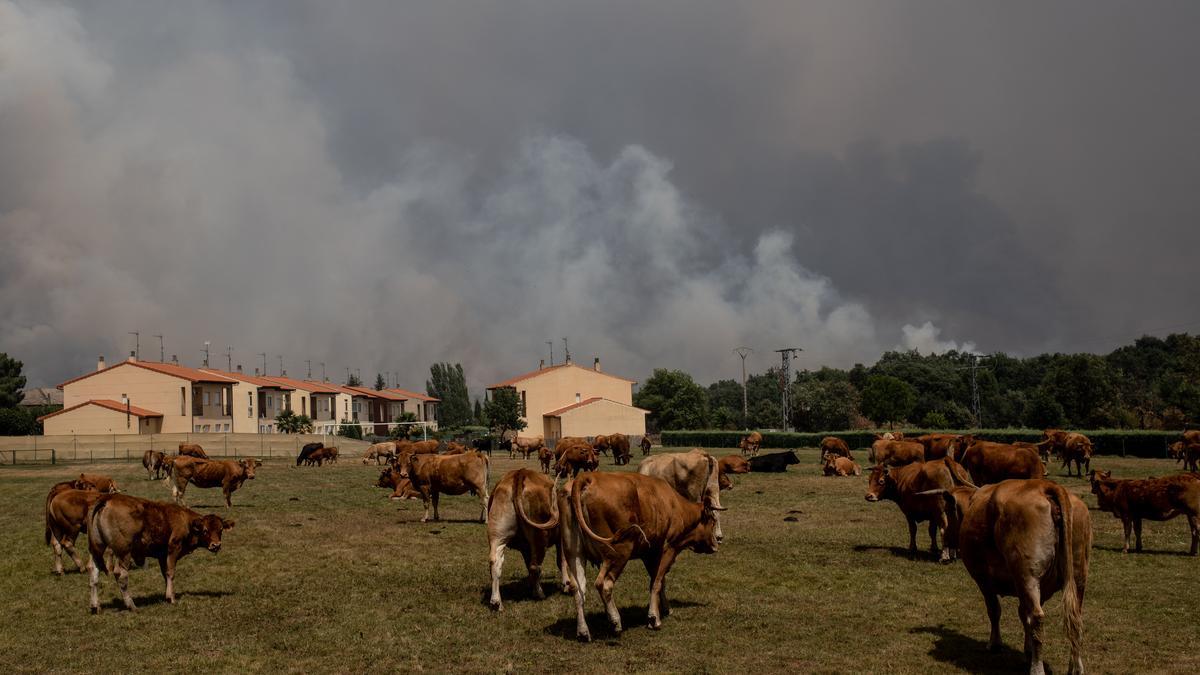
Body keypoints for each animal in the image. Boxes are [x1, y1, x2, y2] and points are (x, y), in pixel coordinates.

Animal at [87, 487, 232, 610]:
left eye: (220, 529)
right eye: (205, 530)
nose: (216, 545)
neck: (185, 520)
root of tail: (108, 499)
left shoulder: (162, 555)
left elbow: (165, 574)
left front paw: (167, 594)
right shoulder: (173, 549)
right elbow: (171, 573)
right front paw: (171, 598)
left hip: (97, 549)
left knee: (94, 572)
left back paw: (95, 606)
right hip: (124, 552)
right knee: (120, 575)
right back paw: (131, 605)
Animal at [484, 468, 573, 610]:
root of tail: (519, 473)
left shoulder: (525, 547)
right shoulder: (562, 538)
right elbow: (562, 560)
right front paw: (566, 584)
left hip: (497, 534)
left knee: (495, 562)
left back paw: (496, 601)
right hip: (539, 536)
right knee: (534, 566)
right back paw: (539, 593)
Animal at [518, 468, 720, 634]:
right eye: (712, 520)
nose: (716, 543)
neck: (673, 505)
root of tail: (586, 478)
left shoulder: (649, 553)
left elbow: (657, 581)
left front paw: (664, 607)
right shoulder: (668, 548)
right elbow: (657, 582)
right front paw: (654, 618)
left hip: (574, 552)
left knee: (578, 587)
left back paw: (583, 630)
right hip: (619, 552)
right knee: (604, 584)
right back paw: (615, 621)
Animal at [931, 478, 1094, 672]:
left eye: (947, 511)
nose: (945, 536)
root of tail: (1046, 485)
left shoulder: (983, 579)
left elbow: (995, 610)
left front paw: (995, 644)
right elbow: (1023, 615)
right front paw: (1028, 650)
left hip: (1028, 576)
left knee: (1037, 618)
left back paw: (1037, 669)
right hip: (1077, 578)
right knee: (1075, 620)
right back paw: (1076, 667)